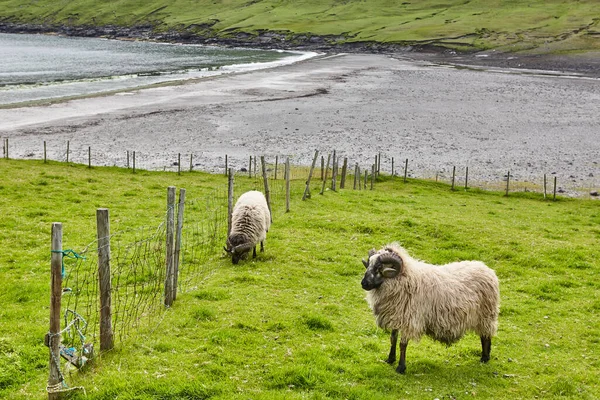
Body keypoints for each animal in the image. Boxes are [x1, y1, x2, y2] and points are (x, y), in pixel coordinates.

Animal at [364, 242, 500, 374]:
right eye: (369, 265)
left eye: (379, 268)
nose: (363, 283)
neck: (405, 279)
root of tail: (486, 269)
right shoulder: (397, 315)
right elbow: (393, 339)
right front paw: (390, 359)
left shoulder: (410, 320)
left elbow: (403, 344)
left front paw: (401, 367)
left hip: (486, 314)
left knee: (485, 336)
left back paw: (485, 357)